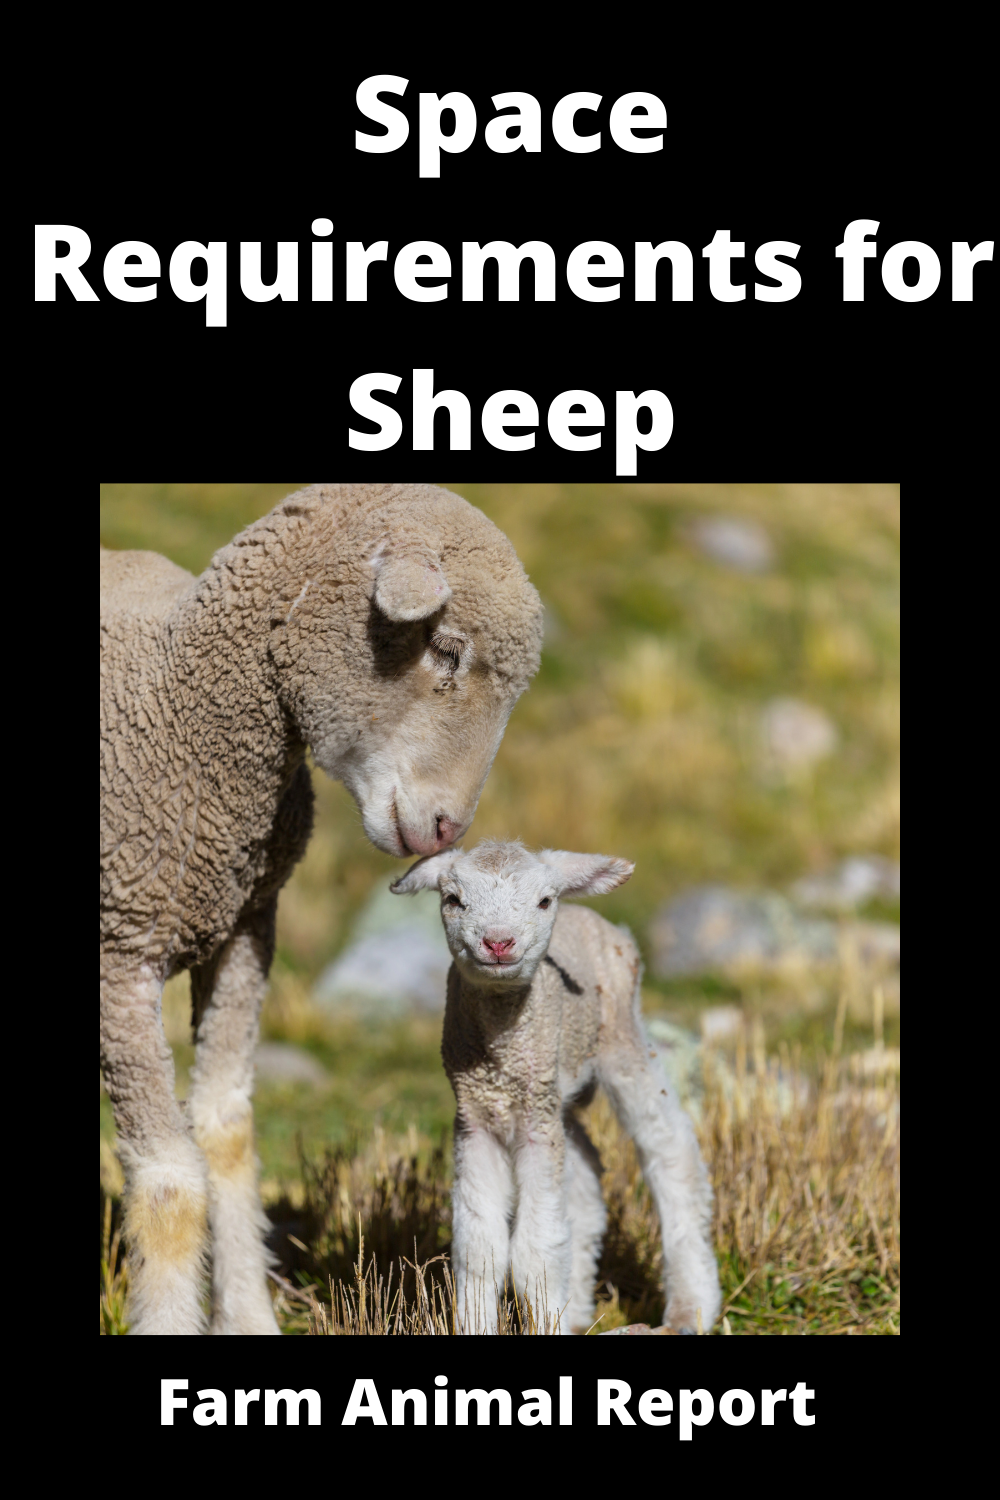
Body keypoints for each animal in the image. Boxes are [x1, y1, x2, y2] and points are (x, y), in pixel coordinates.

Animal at [100, 484, 544, 1334]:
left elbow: (226, 1135)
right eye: (445, 651)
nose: (448, 827)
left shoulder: (245, 928)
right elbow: (170, 1178)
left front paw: (247, 1316)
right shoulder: (117, 953)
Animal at [391, 840, 722, 1335]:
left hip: (622, 1038)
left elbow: (535, 1249)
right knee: (585, 1175)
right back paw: (578, 1308)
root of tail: (592, 916)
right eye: (452, 899)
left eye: (544, 901)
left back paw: (691, 1307)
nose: (498, 942)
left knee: (670, 1149)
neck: (502, 1058)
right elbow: (480, 1248)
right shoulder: (475, 1118)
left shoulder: (535, 1122)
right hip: (558, 1093)